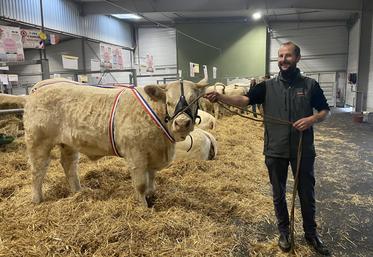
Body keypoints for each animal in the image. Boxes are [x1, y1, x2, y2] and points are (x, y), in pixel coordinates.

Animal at [21, 77, 208, 206]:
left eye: (194, 100)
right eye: (169, 102)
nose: (182, 123)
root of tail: (39, 88)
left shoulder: (152, 154)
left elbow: (151, 179)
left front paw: (151, 197)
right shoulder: (136, 154)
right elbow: (140, 184)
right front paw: (143, 207)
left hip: (68, 143)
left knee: (69, 165)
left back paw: (78, 192)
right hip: (38, 141)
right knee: (38, 170)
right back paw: (37, 199)